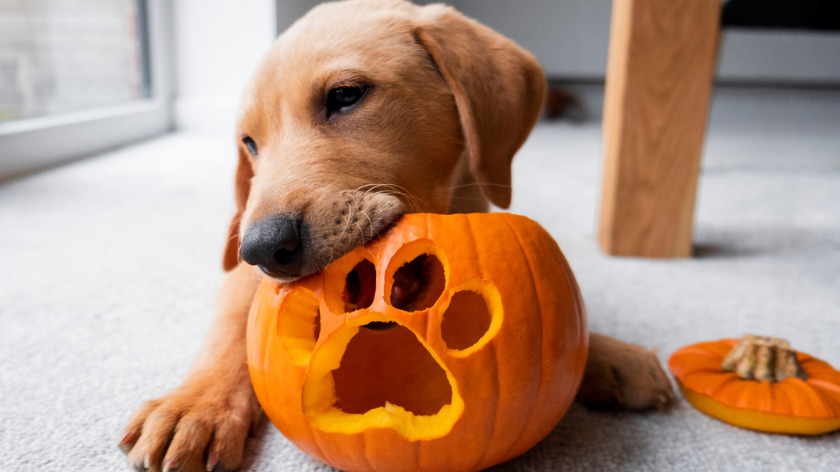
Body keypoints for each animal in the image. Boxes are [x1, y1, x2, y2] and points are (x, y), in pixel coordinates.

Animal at [118, 1, 672, 470]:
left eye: (345, 96)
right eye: (250, 143)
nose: (262, 249)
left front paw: (610, 355)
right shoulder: (243, 277)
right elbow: (232, 328)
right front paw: (199, 405)